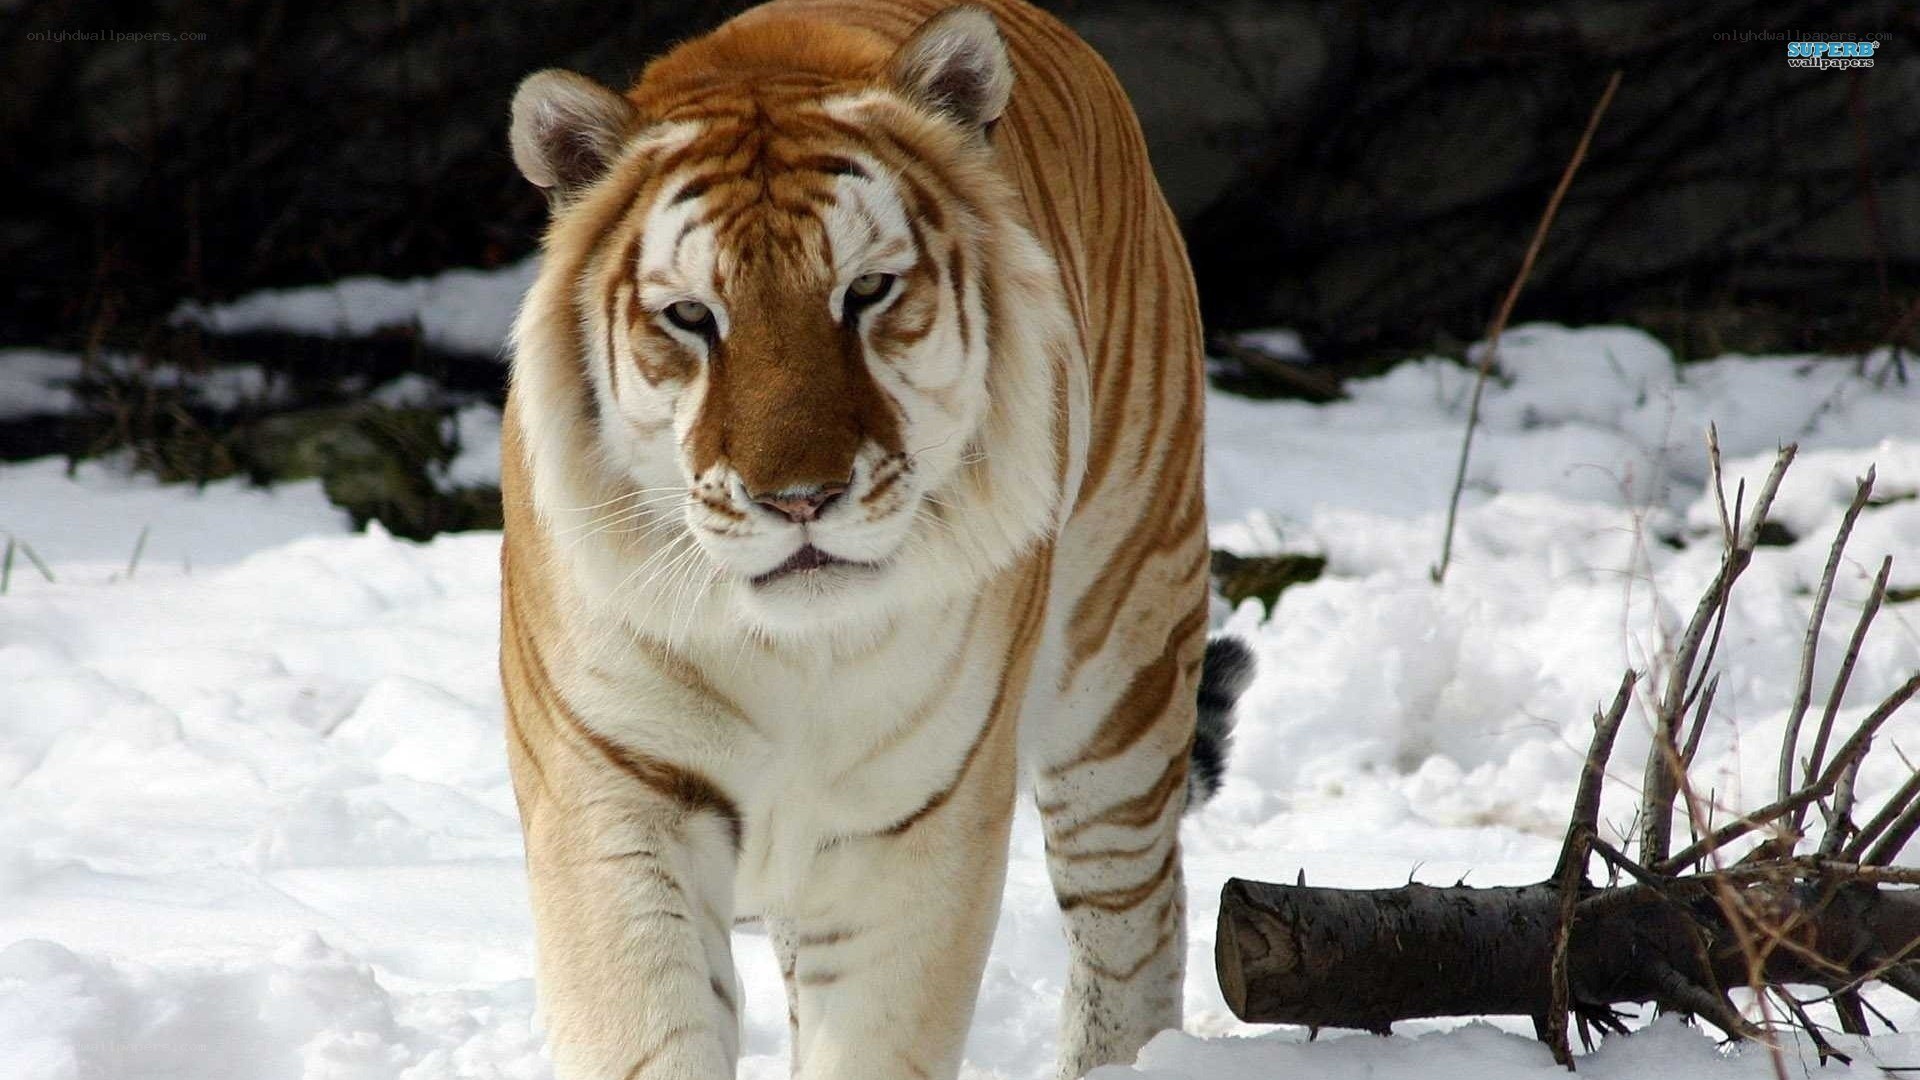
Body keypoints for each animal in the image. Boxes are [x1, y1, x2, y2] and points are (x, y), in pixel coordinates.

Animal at [497, 1, 1251, 1077]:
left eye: (866, 293)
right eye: (691, 316)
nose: (800, 498)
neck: (790, 649)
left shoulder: (913, 824)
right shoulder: (615, 795)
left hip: (1125, 654)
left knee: (1131, 920)